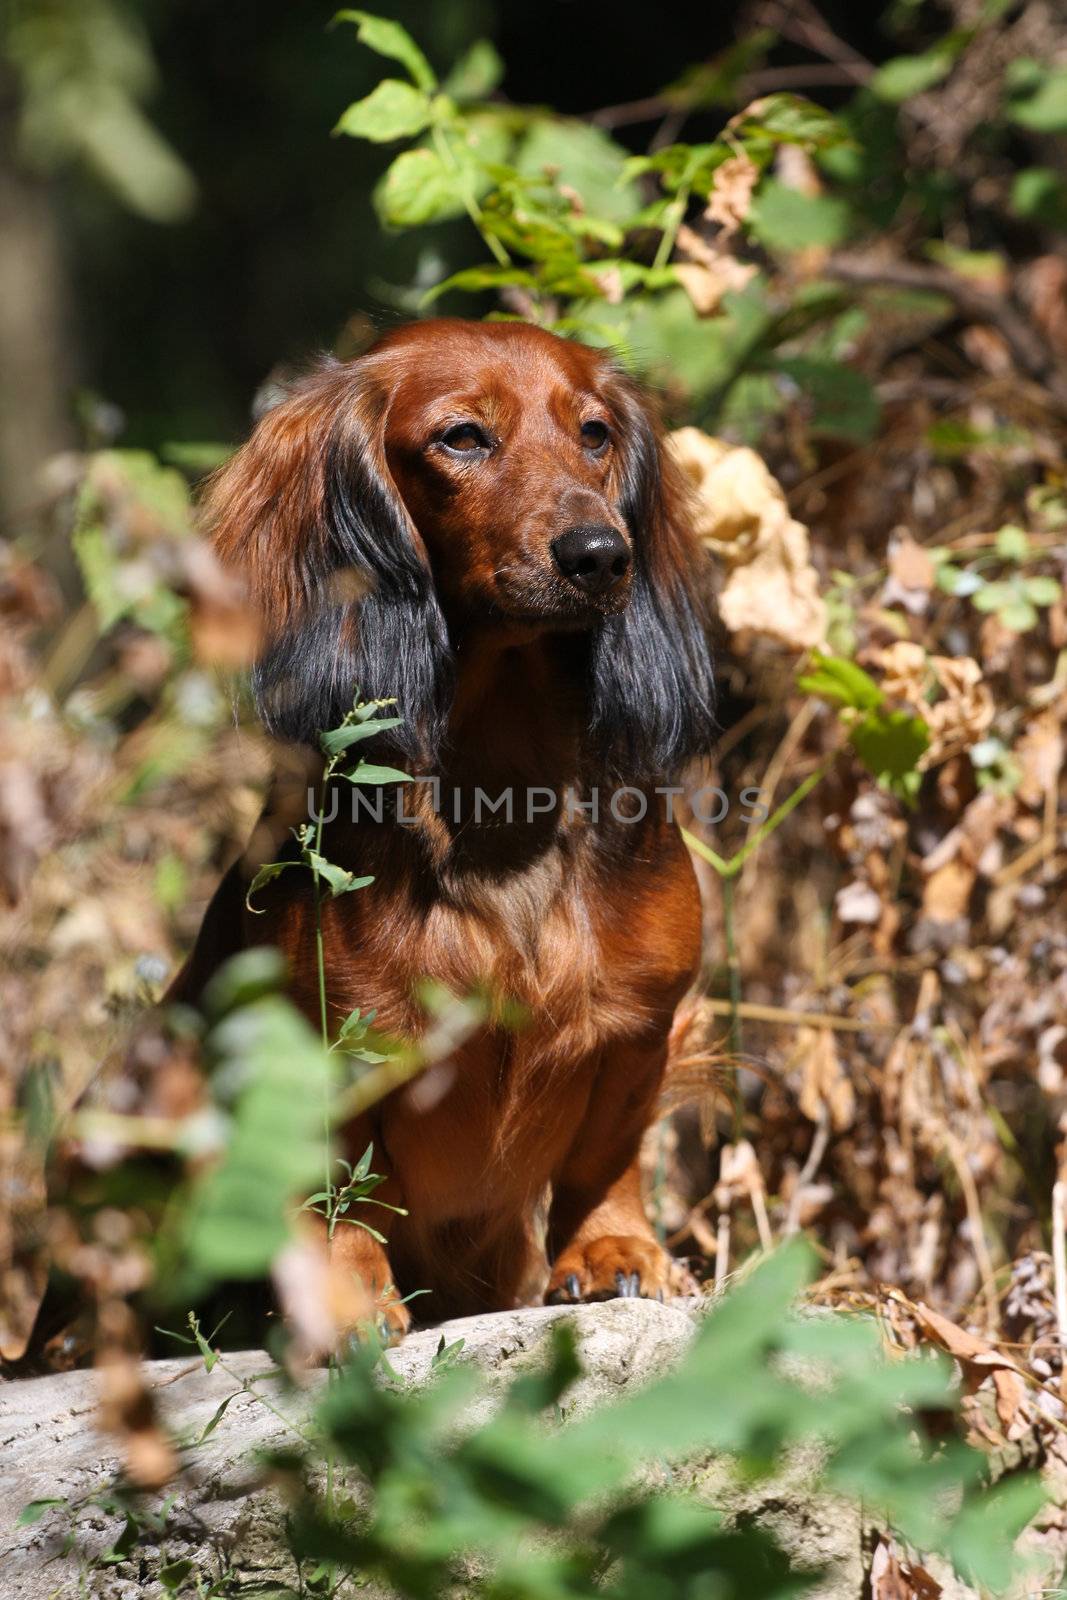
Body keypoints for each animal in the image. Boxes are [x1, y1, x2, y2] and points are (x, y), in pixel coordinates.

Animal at [175, 315, 713, 1337]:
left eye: (594, 434)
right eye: (462, 437)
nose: (600, 553)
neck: (503, 788)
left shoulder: (638, 1025)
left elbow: (606, 1159)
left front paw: (612, 1250)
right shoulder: (325, 1041)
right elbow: (330, 1191)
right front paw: (344, 1298)